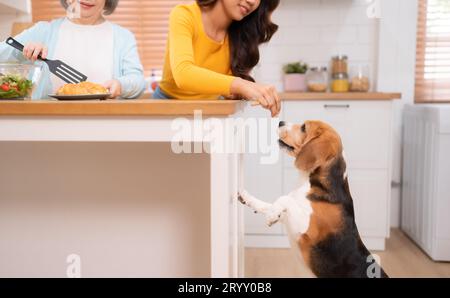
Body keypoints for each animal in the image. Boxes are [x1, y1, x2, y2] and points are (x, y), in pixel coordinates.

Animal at [237, 120, 388, 278]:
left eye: (304, 128)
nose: (280, 122)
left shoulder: (307, 229)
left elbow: (285, 199)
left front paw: (271, 216)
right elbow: (272, 204)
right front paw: (248, 198)